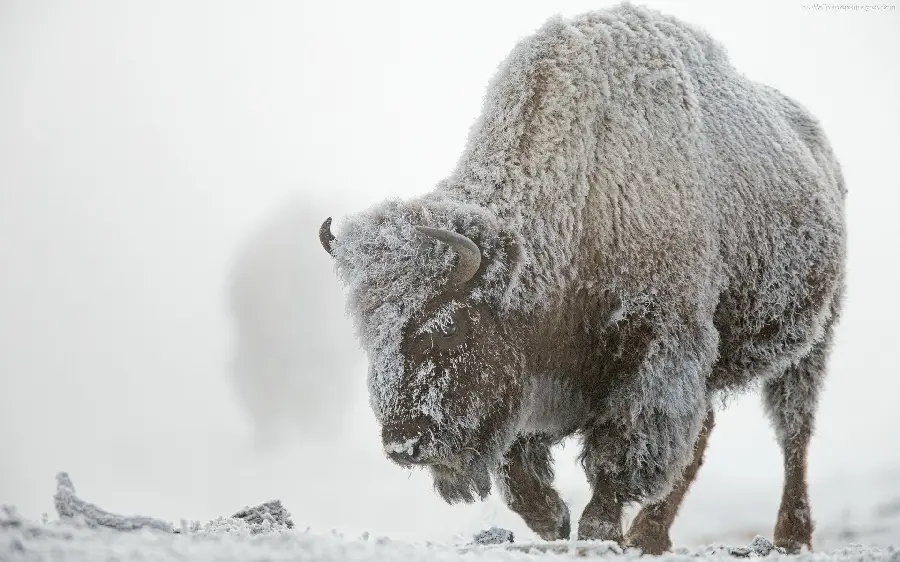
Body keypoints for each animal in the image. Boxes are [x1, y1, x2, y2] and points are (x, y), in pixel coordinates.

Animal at [314, 3, 844, 552]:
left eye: (451, 326)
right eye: (369, 335)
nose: (404, 442)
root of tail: (818, 148)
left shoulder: (655, 349)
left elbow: (621, 450)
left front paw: (597, 530)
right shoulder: (538, 384)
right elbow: (521, 471)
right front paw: (554, 521)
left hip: (813, 341)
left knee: (793, 431)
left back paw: (790, 535)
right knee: (705, 435)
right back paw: (651, 534)